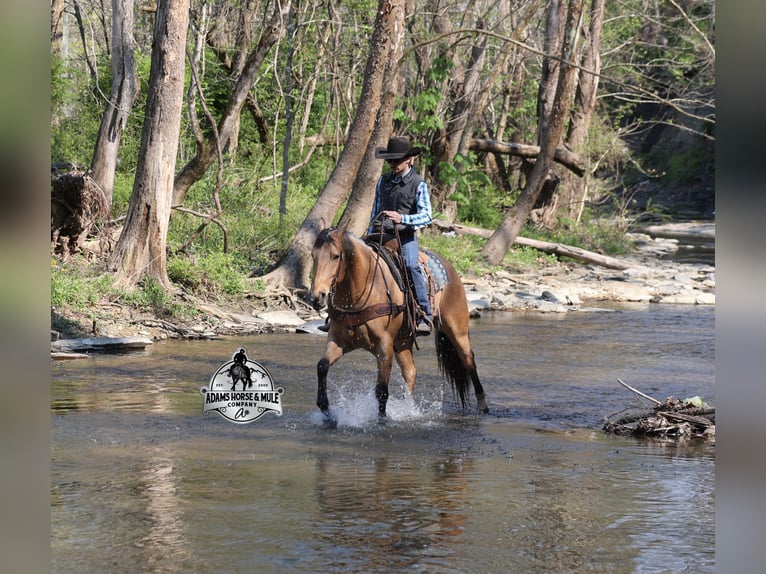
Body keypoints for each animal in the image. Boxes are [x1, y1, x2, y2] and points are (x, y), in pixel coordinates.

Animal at [309, 225, 489, 423]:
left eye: (335, 256)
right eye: (313, 256)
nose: (317, 297)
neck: (361, 290)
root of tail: (449, 267)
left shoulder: (384, 346)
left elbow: (381, 390)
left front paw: (382, 420)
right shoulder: (339, 341)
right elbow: (322, 366)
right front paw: (325, 409)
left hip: (457, 330)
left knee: (468, 360)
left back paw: (483, 405)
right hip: (403, 341)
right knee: (410, 372)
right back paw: (406, 408)